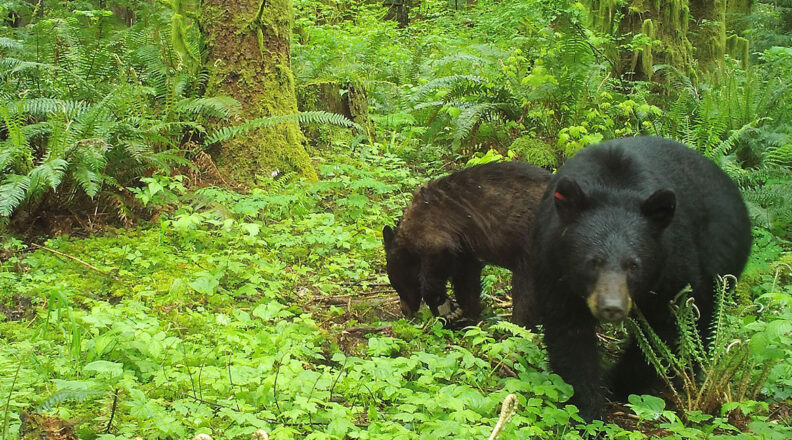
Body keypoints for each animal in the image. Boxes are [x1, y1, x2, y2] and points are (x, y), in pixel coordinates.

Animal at [382, 161, 551, 323]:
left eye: (397, 284)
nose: (405, 311)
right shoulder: (465, 250)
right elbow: (467, 280)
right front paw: (468, 314)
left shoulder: (434, 231)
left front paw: (447, 309)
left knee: (525, 290)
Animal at [511, 136, 752, 421]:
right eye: (593, 262)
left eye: (633, 265)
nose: (611, 307)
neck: (614, 187)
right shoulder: (554, 266)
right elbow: (569, 334)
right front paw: (588, 409)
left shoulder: (673, 266)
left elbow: (665, 330)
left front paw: (619, 384)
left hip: (720, 260)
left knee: (702, 321)